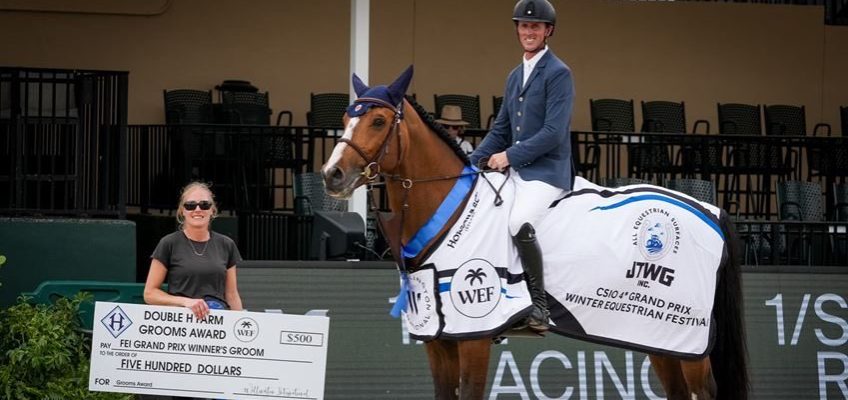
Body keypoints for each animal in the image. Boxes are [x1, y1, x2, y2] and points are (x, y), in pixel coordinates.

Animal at [322, 67, 744, 398]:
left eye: (378, 122)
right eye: (344, 119)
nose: (331, 175)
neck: (450, 206)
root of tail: (710, 209)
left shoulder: (474, 338)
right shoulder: (440, 342)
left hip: (689, 342)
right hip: (662, 338)